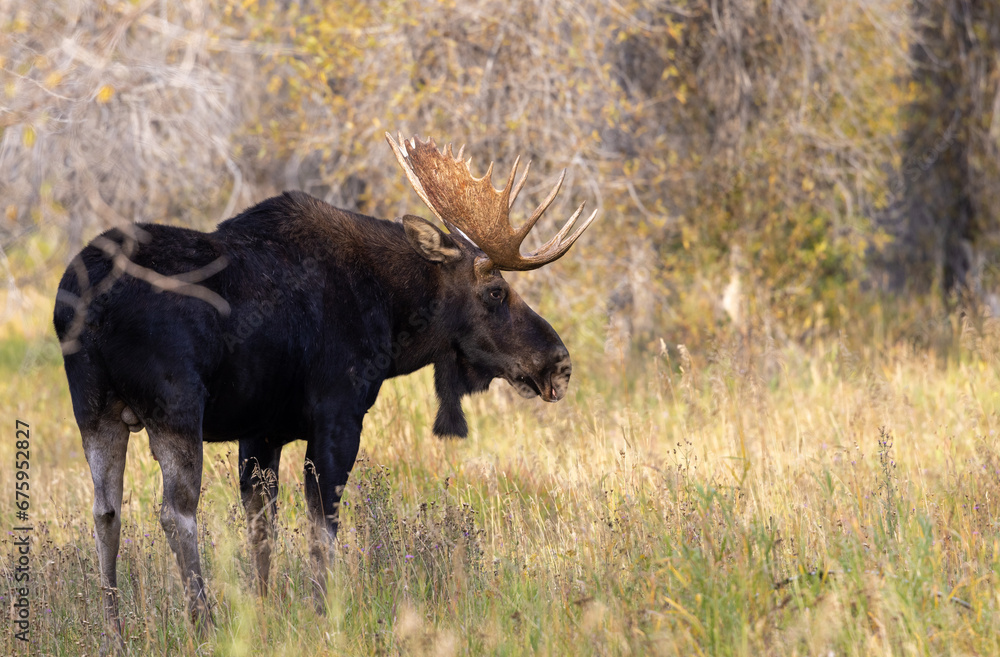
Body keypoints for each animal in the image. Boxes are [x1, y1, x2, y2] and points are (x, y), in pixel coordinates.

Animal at [52, 133, 592, 640]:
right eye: (495, 291)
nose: (559, 364)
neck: (392, 315)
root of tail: (84, 305)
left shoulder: (261, 430)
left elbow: (261, 527)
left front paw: (264, 612)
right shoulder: (338, 414)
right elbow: (322, 527)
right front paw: (323, 613)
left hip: (93, 410)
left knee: (105, 512)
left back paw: (114, 631)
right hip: (175, 407)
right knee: (175, 513)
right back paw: (203, 622)